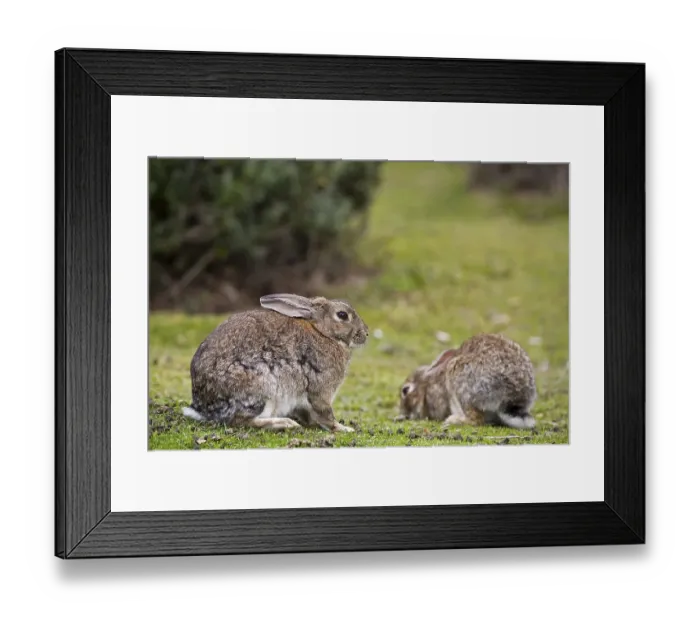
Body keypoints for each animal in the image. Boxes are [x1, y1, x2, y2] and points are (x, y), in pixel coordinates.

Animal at [182, 293, 369, 433]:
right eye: (342, 315)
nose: (366, 333)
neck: (323, 333)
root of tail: (202, 407)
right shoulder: (321, 388)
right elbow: (325, 413)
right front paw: (344, 429)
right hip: (262, 388)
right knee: (240, 420)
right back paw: (284, 423)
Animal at [397, 333, 537, 430]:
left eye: (405, 390)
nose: (403, 413)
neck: (427, 385)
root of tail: (512, 398)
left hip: (461, 384)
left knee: (476, 419)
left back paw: (453, 421)